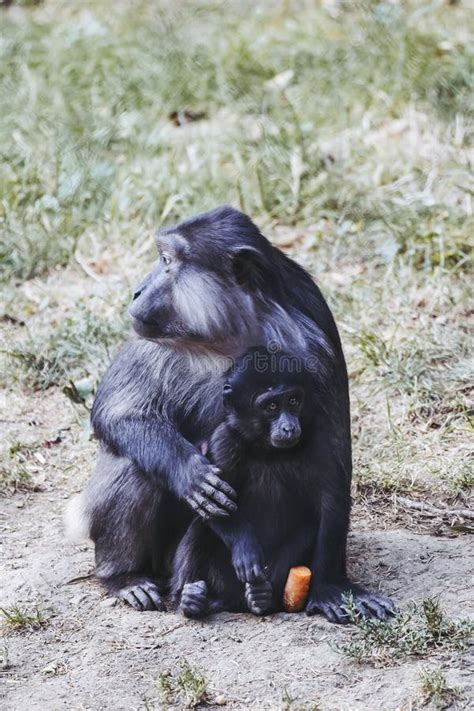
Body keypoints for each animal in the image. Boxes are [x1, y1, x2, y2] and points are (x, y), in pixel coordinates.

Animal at [172, 348, 316, 620]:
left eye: (293, 401)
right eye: (272, 406)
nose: (289, 427)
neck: (264, 450)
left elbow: (312, 517)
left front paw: (264, 593)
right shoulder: (223, 440)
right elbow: (214, 504)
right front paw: (245, 548)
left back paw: (260, 598)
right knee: (199, 528)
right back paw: (190, 600)